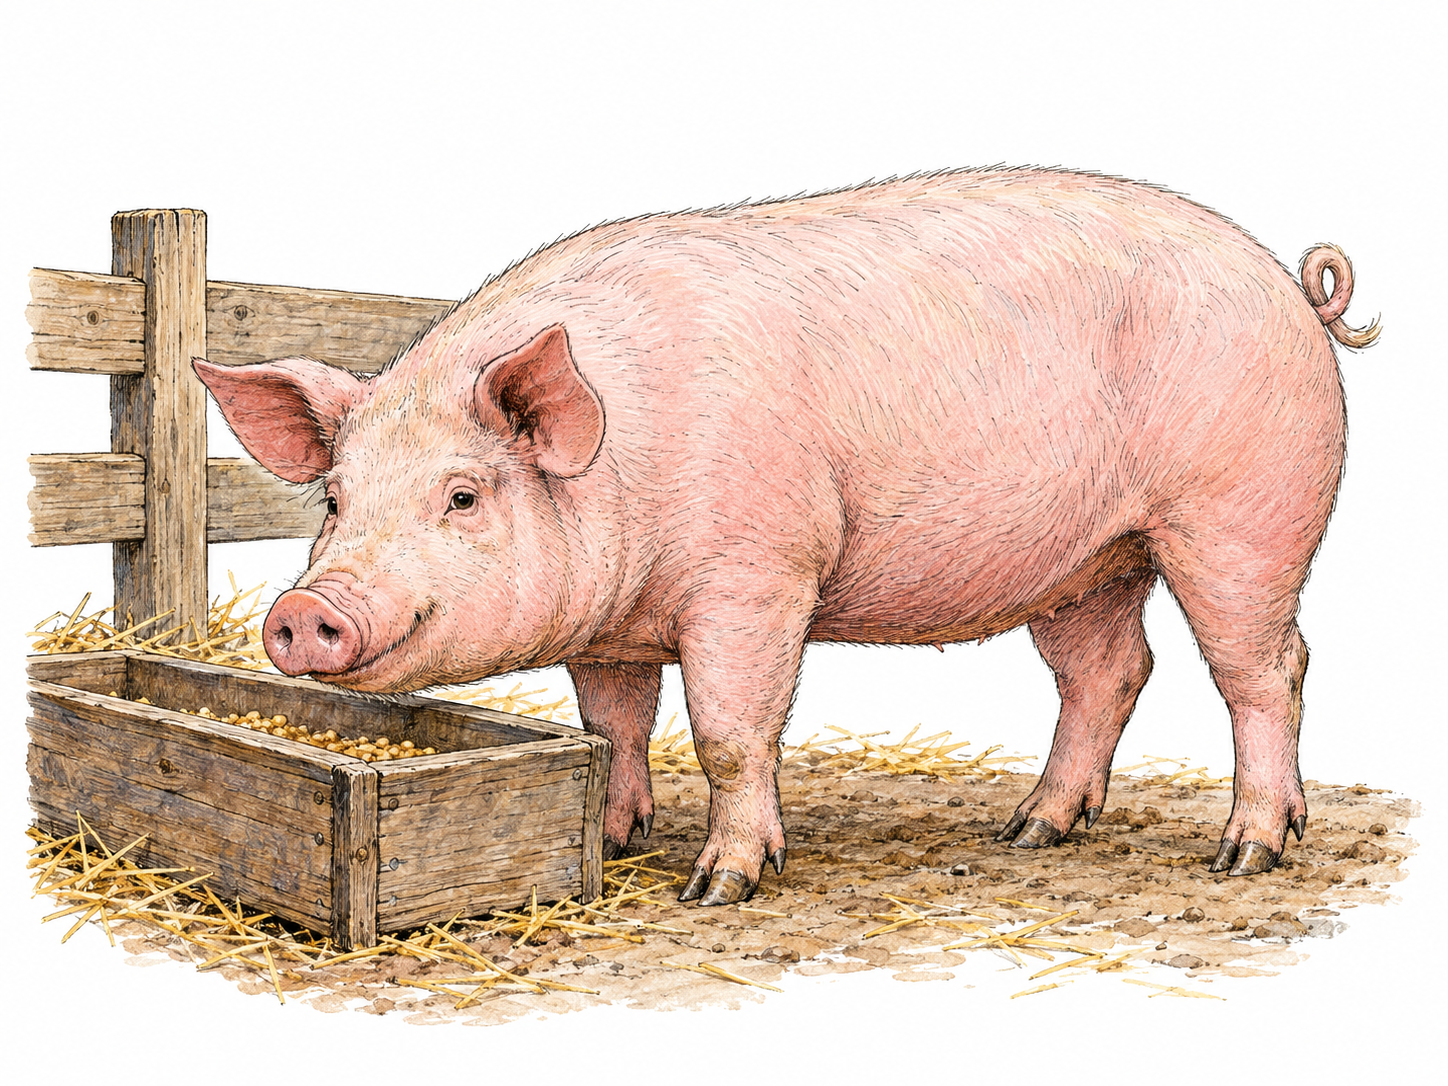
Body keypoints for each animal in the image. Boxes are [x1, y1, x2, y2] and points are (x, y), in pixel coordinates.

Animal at [194, 168, 1378, 906]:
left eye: (462, 498)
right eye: (334, 499)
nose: (304, 609)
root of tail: (1293, 289)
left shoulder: (757, 575)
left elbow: (729, 729)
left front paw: (717, 885)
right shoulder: (612, 628)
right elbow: (613, 724)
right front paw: (614, 837)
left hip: (1240, 514)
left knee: (1266, 666)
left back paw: (1245, 854)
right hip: (1090, 558)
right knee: (1109, 671)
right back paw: (1030, 830)